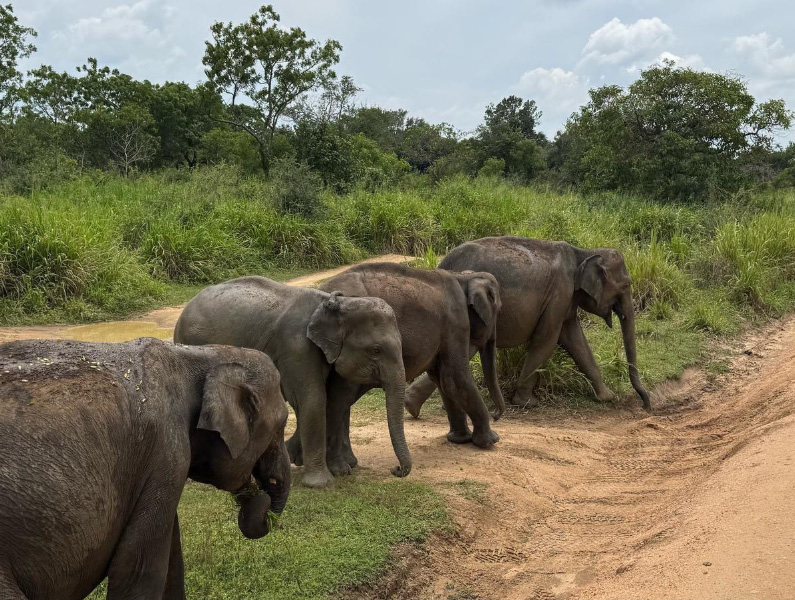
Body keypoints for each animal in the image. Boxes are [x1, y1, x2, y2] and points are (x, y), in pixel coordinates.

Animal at [0, 338, 290, 600]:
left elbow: (171, 559)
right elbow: (137, 566)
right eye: (281, 425)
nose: (259, 496)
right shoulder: (165, 450)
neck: (199, 355)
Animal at [174, 275, 410, 489]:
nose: (396, 469)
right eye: (376, 350)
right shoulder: (296, 347)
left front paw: (341, 471)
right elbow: (314, 400)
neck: (337, 303)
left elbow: (336, 400)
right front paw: (321, 484)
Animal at [295, 262, 505, 474]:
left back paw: (344, 461)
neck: (463, 277)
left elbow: (442, 378)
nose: (496, 415)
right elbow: (454, 377)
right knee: (344, 394)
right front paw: (490, 441)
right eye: (498, 309)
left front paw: (460, 439)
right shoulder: (455, 322)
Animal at [404, 236, 651, 415]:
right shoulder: (559, 293)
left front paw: (607, 397)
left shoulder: (565, 300)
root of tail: (440, 265)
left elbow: (575, 340)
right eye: (626, 285)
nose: (647, 405)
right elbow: (547, 340)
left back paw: (412, 405)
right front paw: (527, 403)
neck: (583, 252)